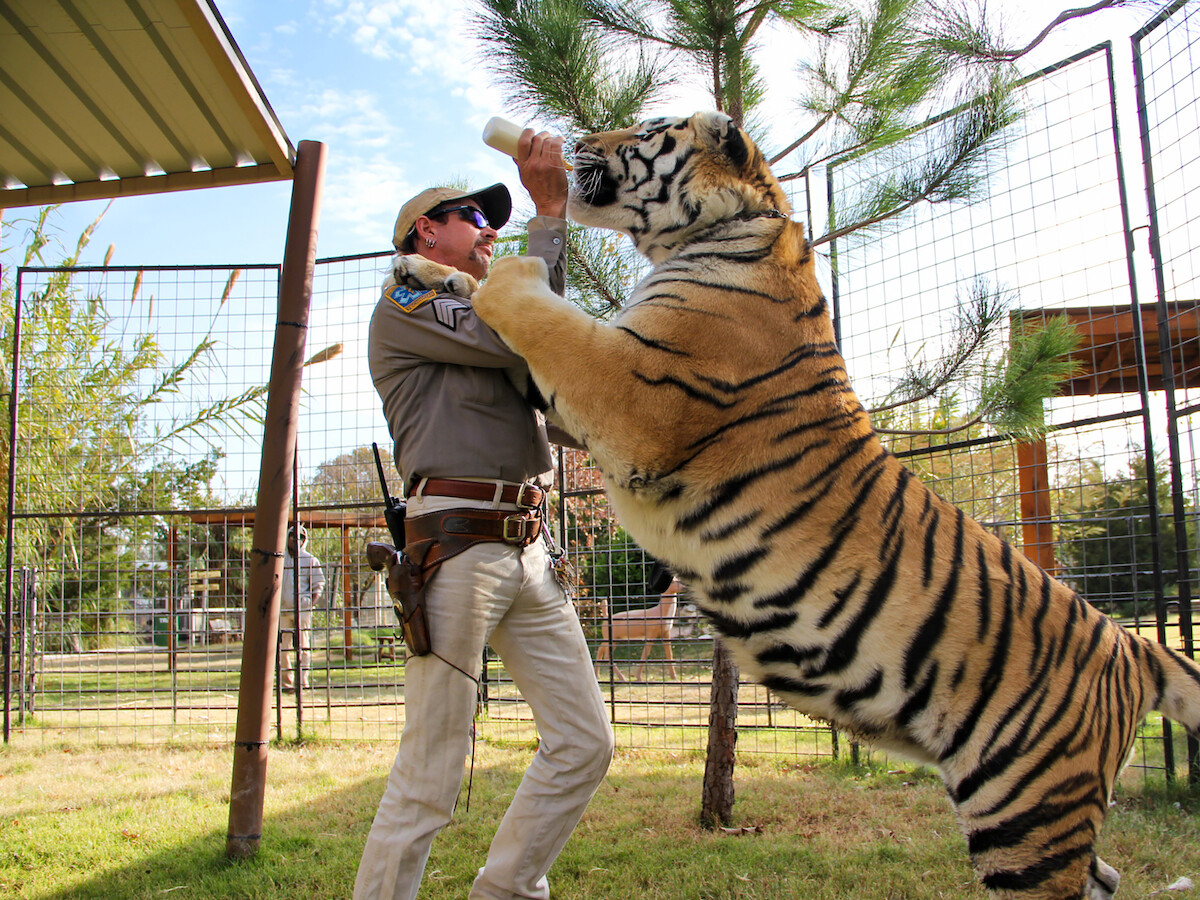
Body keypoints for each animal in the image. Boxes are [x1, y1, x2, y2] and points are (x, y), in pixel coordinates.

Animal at [400, 110, 1200, 899]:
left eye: (649, 128)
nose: (577, 141)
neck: (722, 231)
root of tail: (1132, 646)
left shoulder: (630, 391)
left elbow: (534, 308)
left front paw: (502, 267)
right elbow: (489, 307)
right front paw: (421, 271)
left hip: (1025, 810)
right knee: (1105, 875)